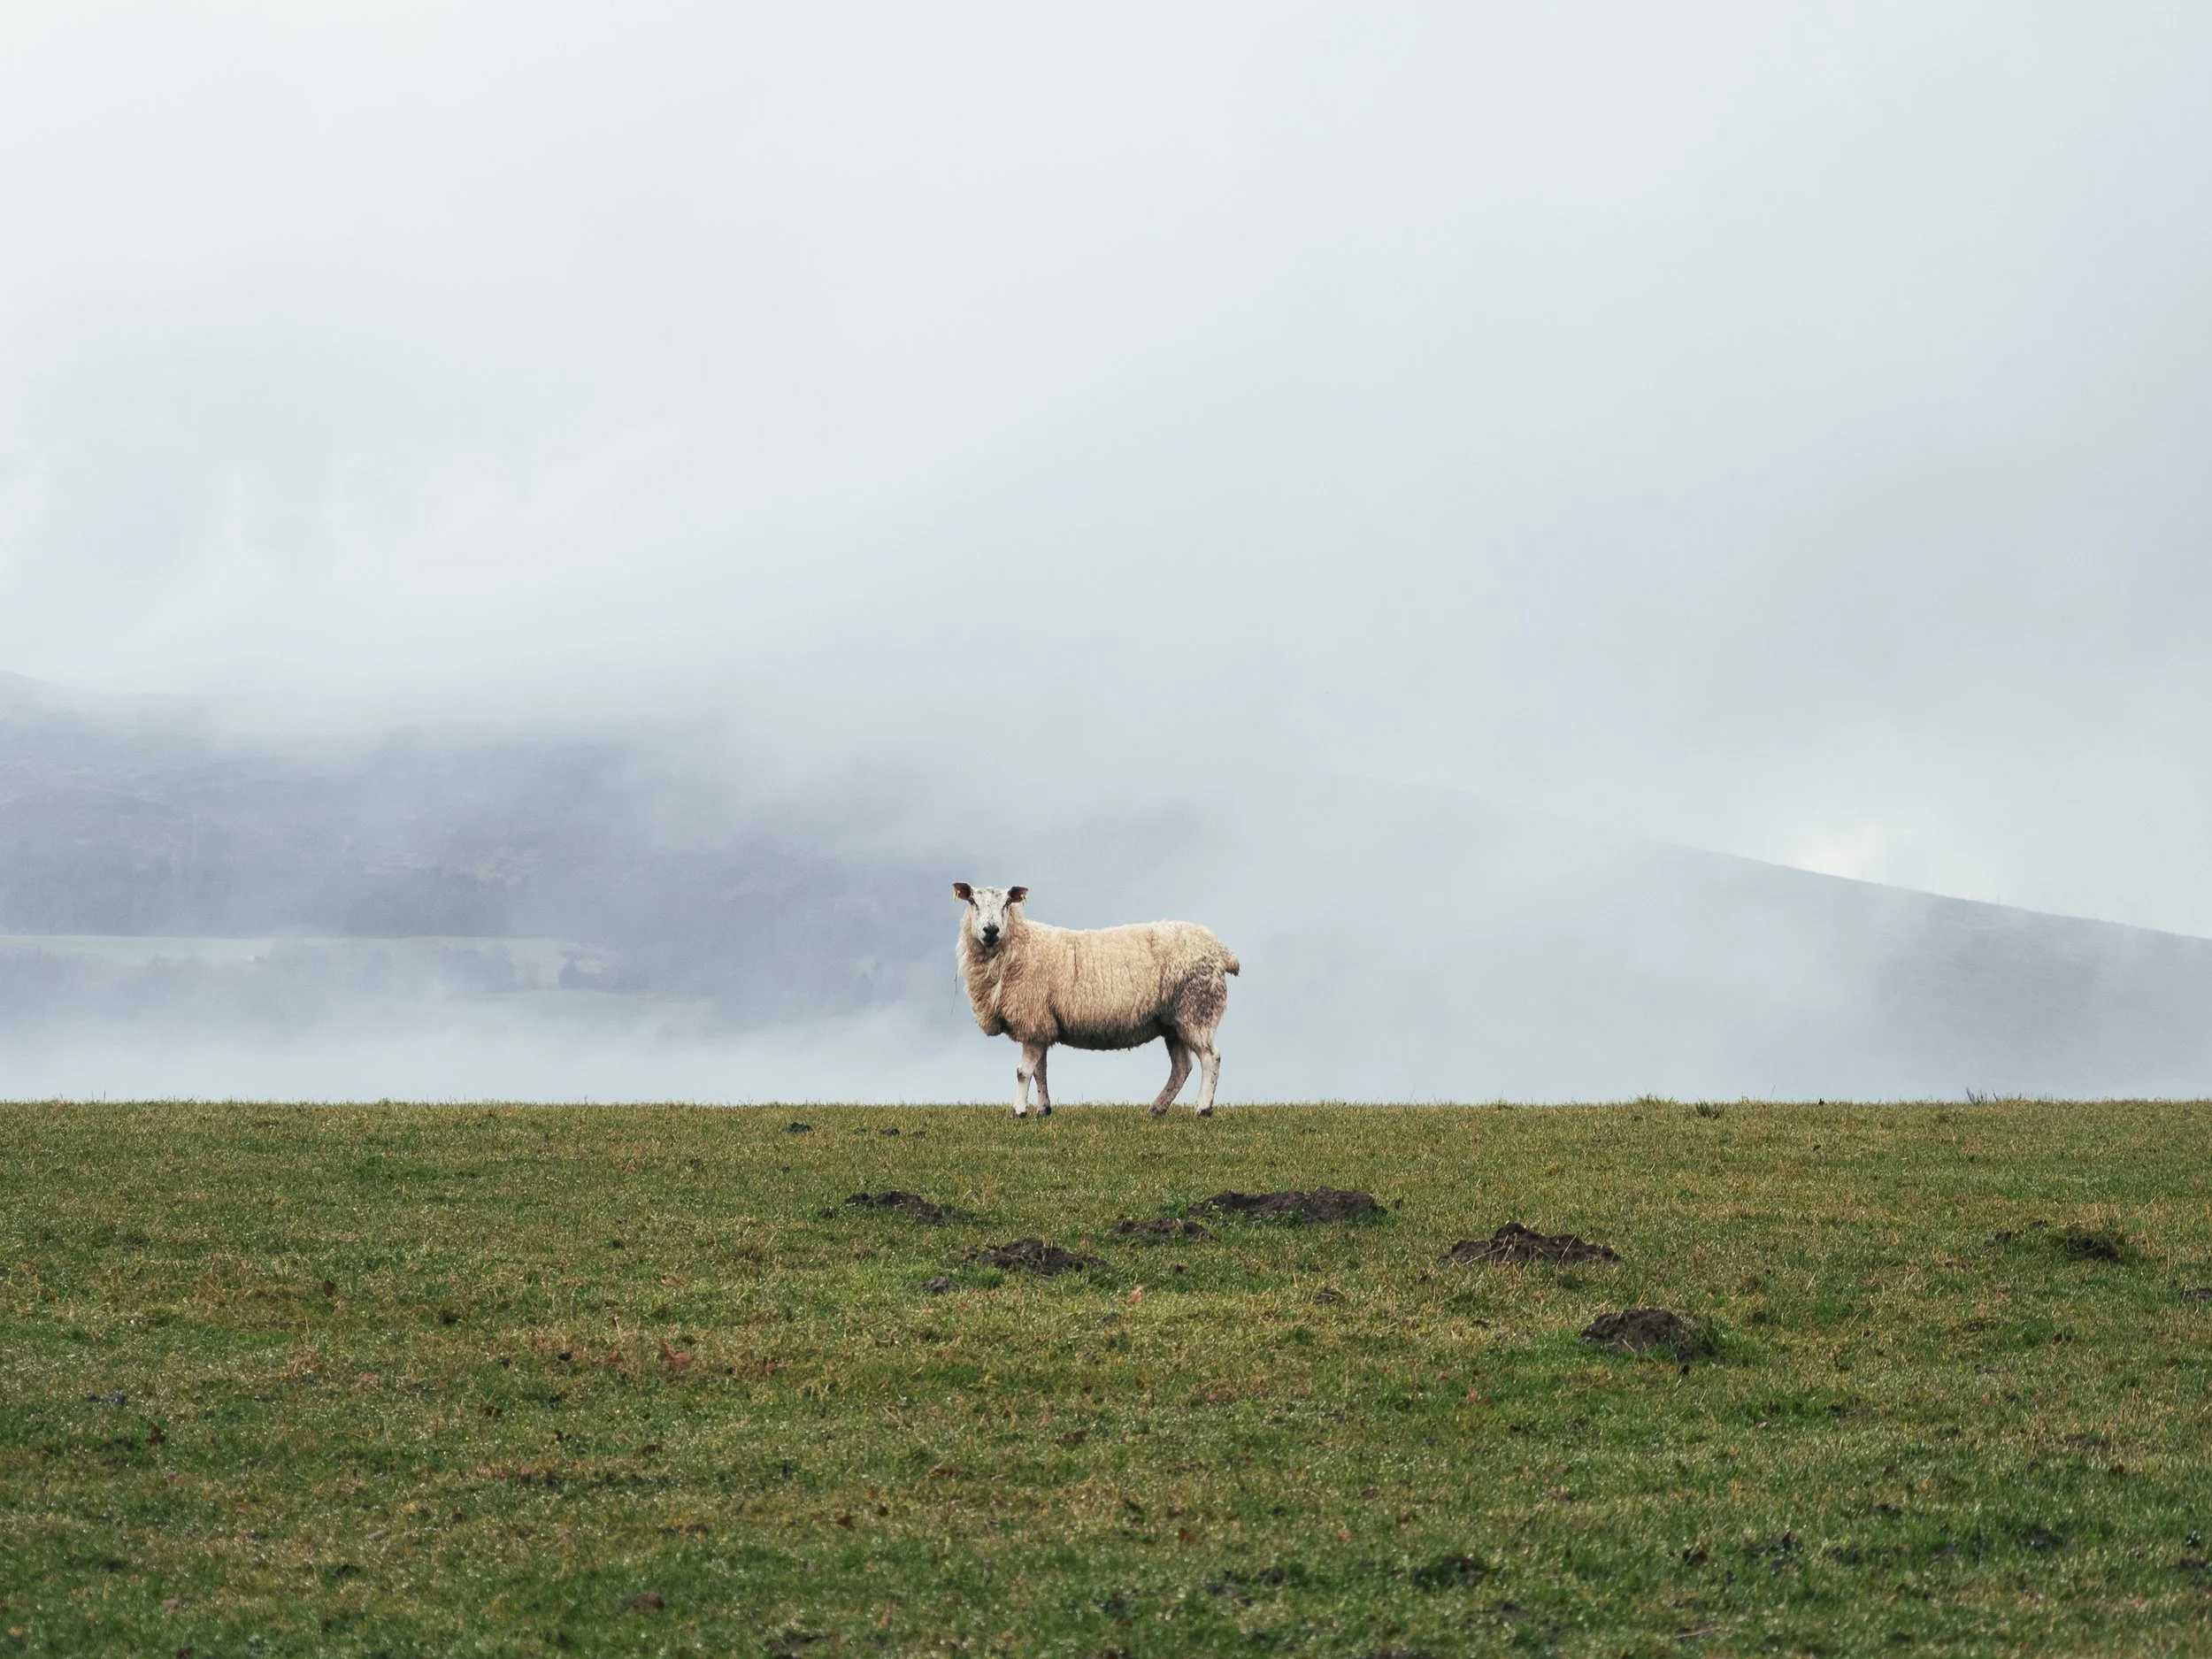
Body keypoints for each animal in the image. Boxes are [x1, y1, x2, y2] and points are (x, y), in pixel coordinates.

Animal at [953, 883, 1240, 1118]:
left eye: (1007, 904)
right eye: (973, 902)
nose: (991, 930)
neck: (1020, 947)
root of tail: (1222, 951)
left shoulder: (1032, 1019)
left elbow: (1023, 1072)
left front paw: (1018, 1112)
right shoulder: (1041, 1024)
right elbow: (1039, 1071)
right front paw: (1043, 1110)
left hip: (1196, 1008)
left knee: (1211, 1058)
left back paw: (1202, 1109)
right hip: (1172, 1021)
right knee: (1182, 1067)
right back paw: (1158, 1108)